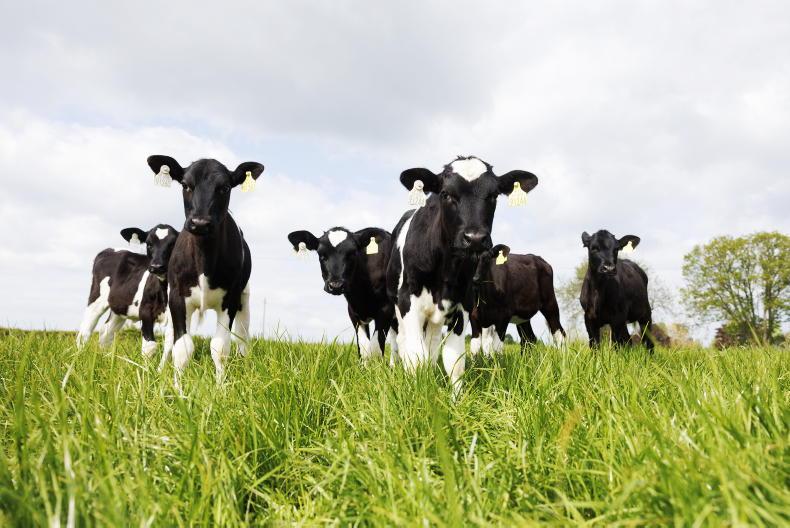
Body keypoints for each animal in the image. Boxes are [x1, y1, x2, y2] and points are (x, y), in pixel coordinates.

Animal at [76, 224, 179, 358]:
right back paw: (78, 357)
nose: (157, 266)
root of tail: (109, 250)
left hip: (119, 308)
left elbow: (171, 347)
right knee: (85, 332)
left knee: (106, 332)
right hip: (96, 298)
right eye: (149, 244)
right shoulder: (145, 311)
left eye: (173, 244)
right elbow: (149, 347)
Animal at [146, 155, 264, 386]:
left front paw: (220, 387)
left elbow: (220, 347)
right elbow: (182, 347)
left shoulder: (230, 299)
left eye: (225, 187)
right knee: (169, 339)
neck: (204, 260)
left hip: (244, 297)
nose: (200, 223)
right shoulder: (177, 297)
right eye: (185, 185)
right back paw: (160, 369)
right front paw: (177, 388)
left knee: (242, 335)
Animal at [287, 227, 398, 363]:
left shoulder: (386, 309)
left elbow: (375, 348)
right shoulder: (354, 312)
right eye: (322, 255)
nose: (336, 285)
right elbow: (364, 349)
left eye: (352, 254)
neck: (363, 294)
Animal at [387, 155, 539, 395]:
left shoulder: (463, 306)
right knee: (402, 343)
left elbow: (454, 362)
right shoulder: (408, 302)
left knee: (432, 345)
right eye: (446, 194)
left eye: (493, 195)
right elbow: (416, 357)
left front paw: (455, 399)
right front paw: (418, 394)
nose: (475, 238)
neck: (445, 270)